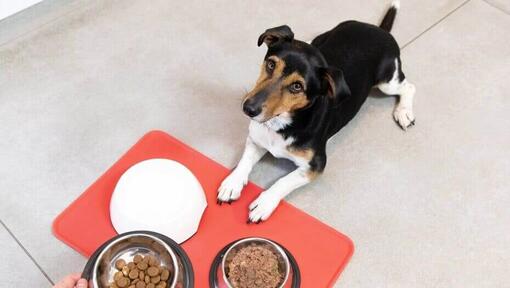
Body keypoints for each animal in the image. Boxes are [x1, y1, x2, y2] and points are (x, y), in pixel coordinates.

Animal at [217, 0, 416, 223]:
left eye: (297, 86)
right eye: (270, 64)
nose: (248, 108)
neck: (282, 122)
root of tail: (378, 29)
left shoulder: (316, 165)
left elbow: (284, 181)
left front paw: (265, 203)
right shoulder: (256, 139)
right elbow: (244, 161)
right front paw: (232, 183)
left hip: (387, 81)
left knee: (409, 87)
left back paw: (404, 112)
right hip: (324, 38)